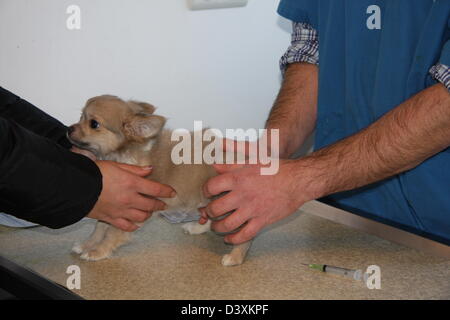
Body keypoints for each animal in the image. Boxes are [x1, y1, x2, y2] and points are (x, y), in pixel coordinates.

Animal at [69, 96, 255, 266]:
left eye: (93, 124)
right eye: (80, 116)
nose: (69, 129)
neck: (125, 155)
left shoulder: (131, 208)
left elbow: (112, 233)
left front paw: (98, 251)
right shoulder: (114, 207)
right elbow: (99, 228)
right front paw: (88, 245)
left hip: (227, 205)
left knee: (246, 233)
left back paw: (235, 257)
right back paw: (196, 228)